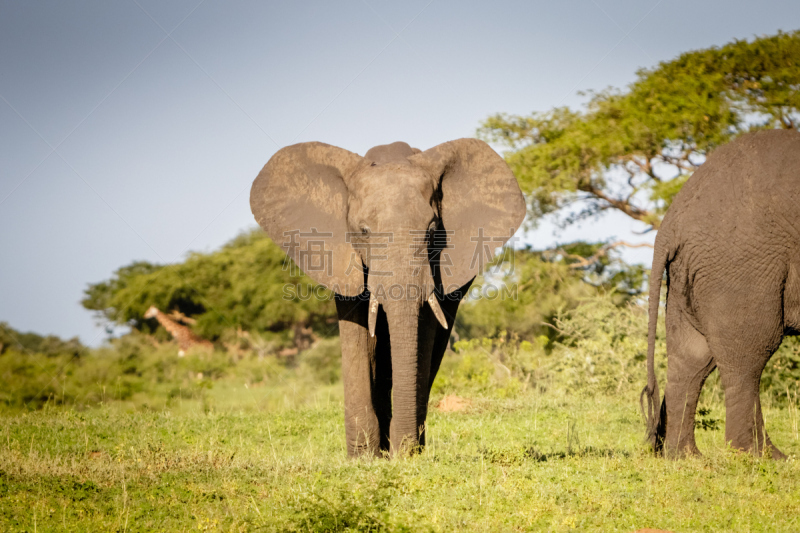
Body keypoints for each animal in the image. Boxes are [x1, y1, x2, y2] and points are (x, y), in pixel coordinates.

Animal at [250, 138, 524, 458]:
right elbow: (358, 332)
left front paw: (404, 453)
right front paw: (362, 458)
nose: (402, 452)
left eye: (433, 231)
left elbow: (422, 332)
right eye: (364, 231)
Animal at [644, 129, 800, 458]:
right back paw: (764, 456)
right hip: (741, 262)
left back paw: (685, 457)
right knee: (750, 350)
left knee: (691, 356)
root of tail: (670, 223)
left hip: (691, 270)